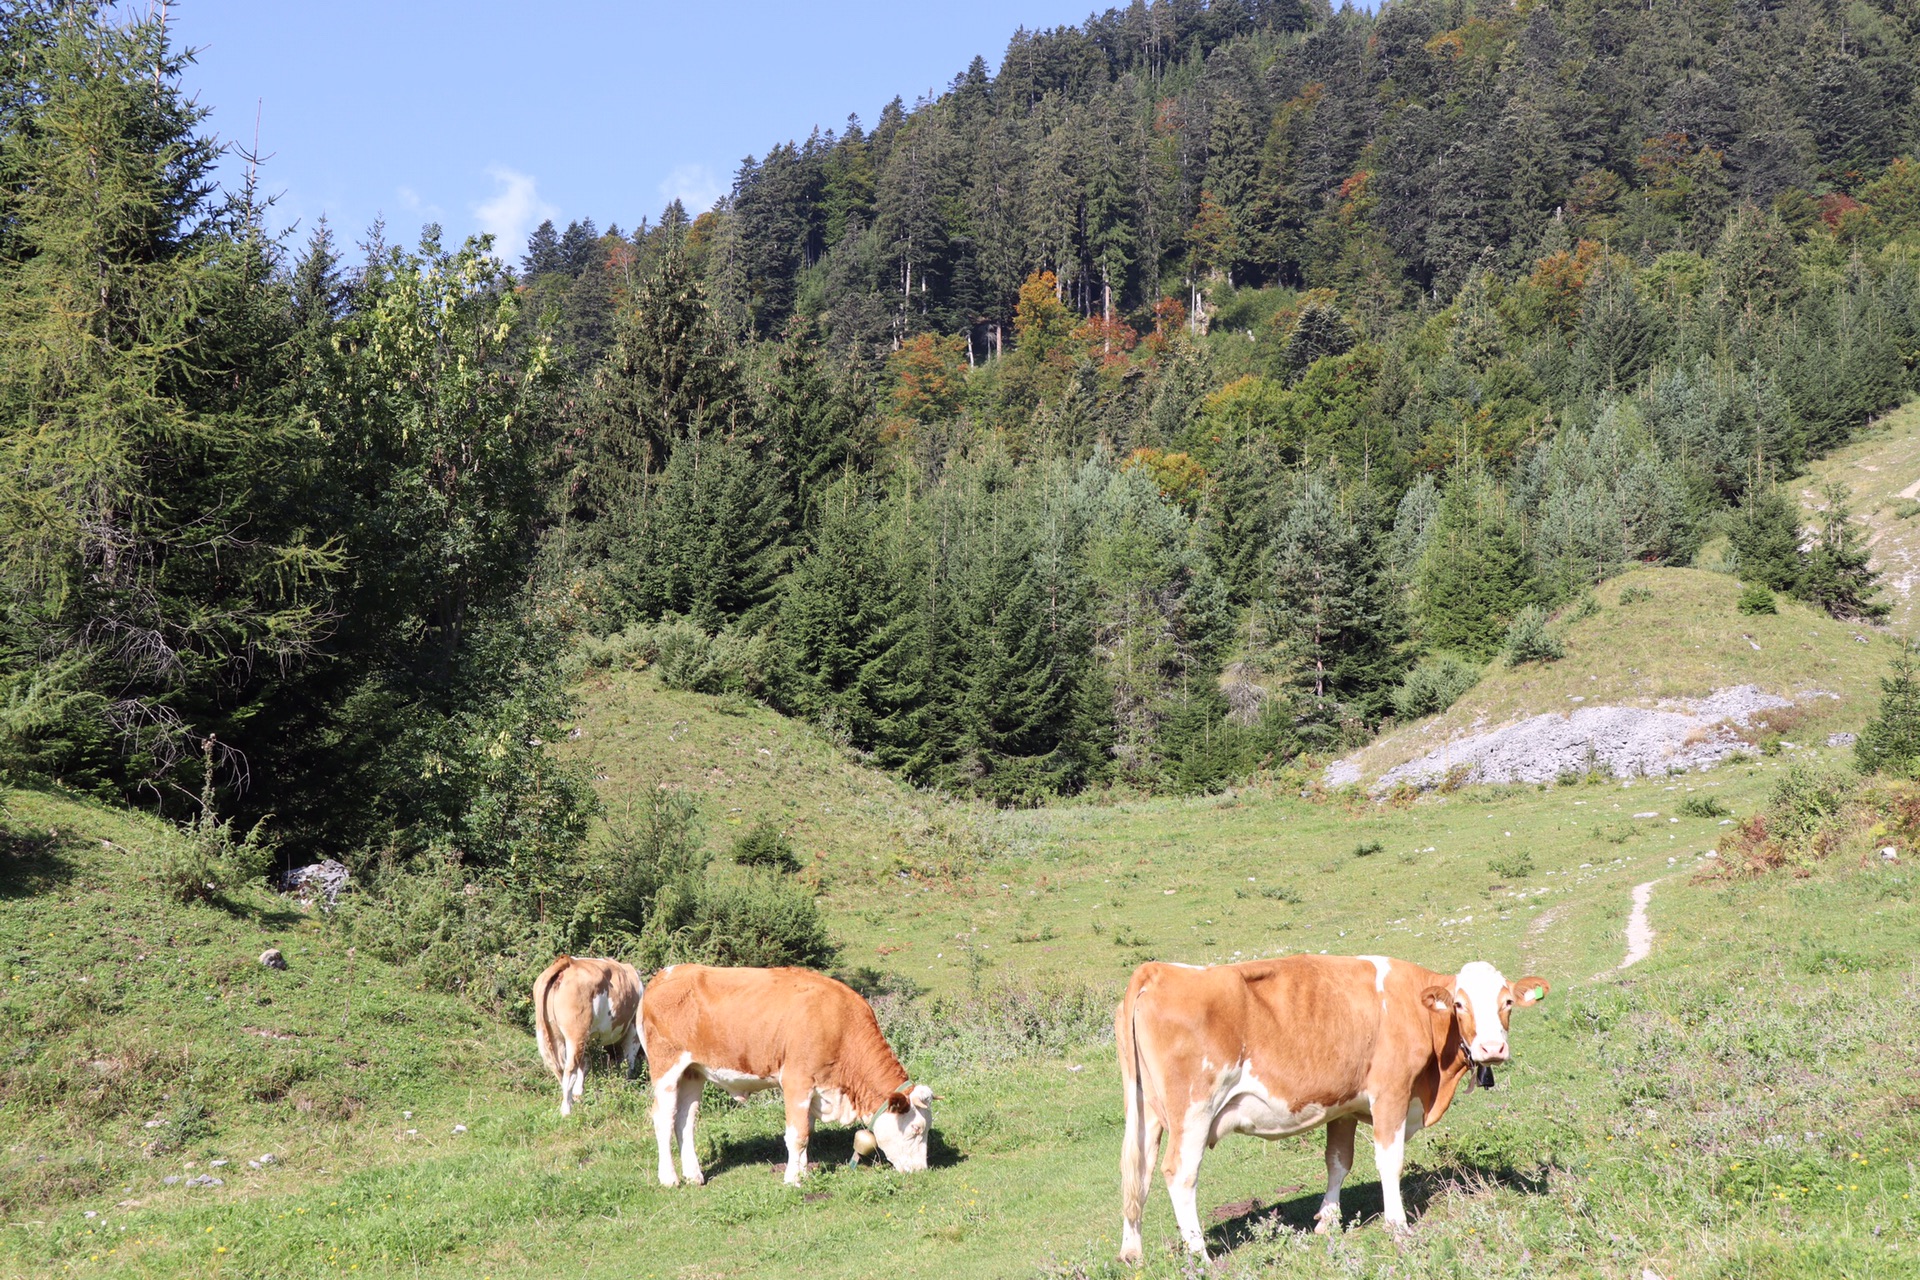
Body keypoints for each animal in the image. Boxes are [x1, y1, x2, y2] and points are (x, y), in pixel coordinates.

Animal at [529, 955, 648, 1113]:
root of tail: (569, 961)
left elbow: (585, 1065)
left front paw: (579, 1094)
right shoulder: (633, 1032)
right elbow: (628, 1061)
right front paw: (626, 1085)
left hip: (554, 1034)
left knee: (560, 1069)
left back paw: (571, 1101)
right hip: (576, 1034)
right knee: (569, 1069)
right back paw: (566, 1110)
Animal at [641, 967, 933, 1189]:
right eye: (916, 1130)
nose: (922, 1170)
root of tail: (667, 973)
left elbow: (807, 1131)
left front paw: (802, 1171)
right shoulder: (797, 1081)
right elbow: (798, 1135)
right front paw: (793, 1180)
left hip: (693, 1071)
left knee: (685, 1120)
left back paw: (694, 1175)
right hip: (666, 1067)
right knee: (664, 1119)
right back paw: (669, 1178)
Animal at [1113, 951, 1543, 1258]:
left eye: (1507, 1002)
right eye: (1459, 1004)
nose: (1492, 1048)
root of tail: (1159, 970)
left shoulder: (1345, 1105)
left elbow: (1338, 1161)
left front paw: (1328, 1220)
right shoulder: (1390, 1092)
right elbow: (1389, 1161)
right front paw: (1397, 1225)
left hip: (1146, 1110)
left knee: (1139, 1172)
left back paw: (1132, 1253)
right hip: (1194, 1110)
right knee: (1179, 1173)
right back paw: (1199, 1254)